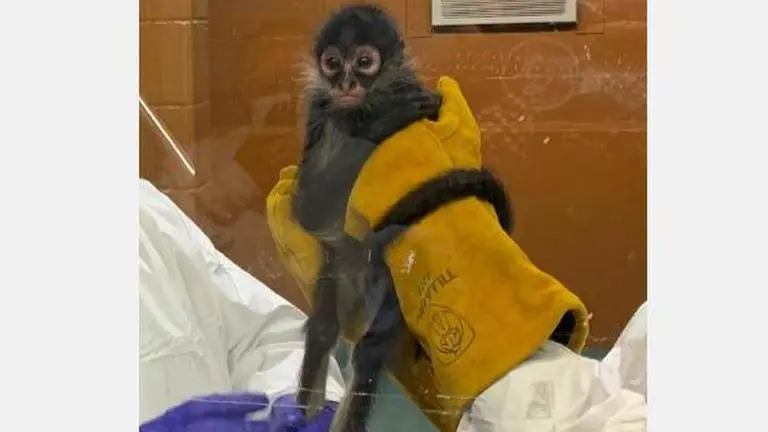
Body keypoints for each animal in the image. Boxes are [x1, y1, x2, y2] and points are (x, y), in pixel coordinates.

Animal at [289, 4, 516, 432]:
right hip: (338, 268)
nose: (346, 81)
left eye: (364, 62)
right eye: (332, 63)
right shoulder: (319, 108)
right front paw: (380, 119)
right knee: (325, 327)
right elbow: (308, 210)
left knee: (368, 348)